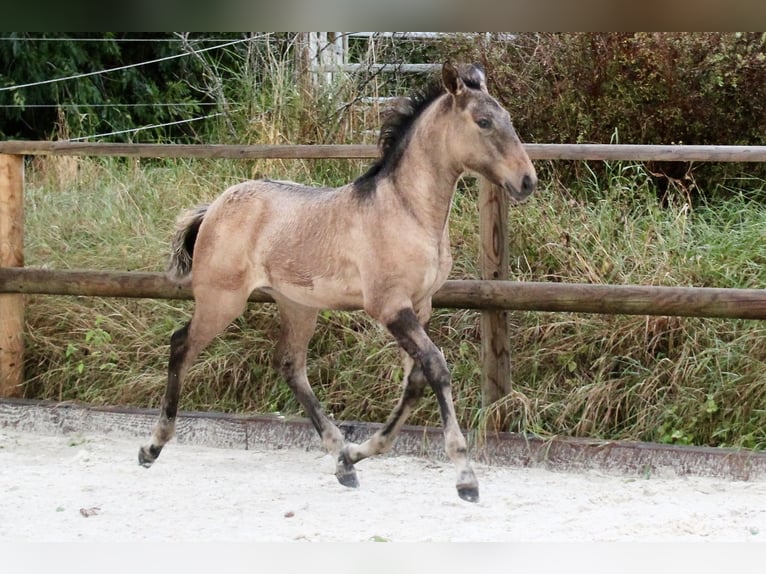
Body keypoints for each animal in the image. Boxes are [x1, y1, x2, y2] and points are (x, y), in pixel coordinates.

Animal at [138, 64, 536, 504]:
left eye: (508, 119)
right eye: (483, 122)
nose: (527, 181)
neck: (407, 211)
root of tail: (214, 207)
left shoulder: (421, 305)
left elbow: (414, 381)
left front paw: (361, 452)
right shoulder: (389, 306)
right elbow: (436, 367)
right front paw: (465, 476)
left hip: (297, 305)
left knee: (290, 366)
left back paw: (342, 458)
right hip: (221, 300)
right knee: (181, 345)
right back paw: (152, 446)